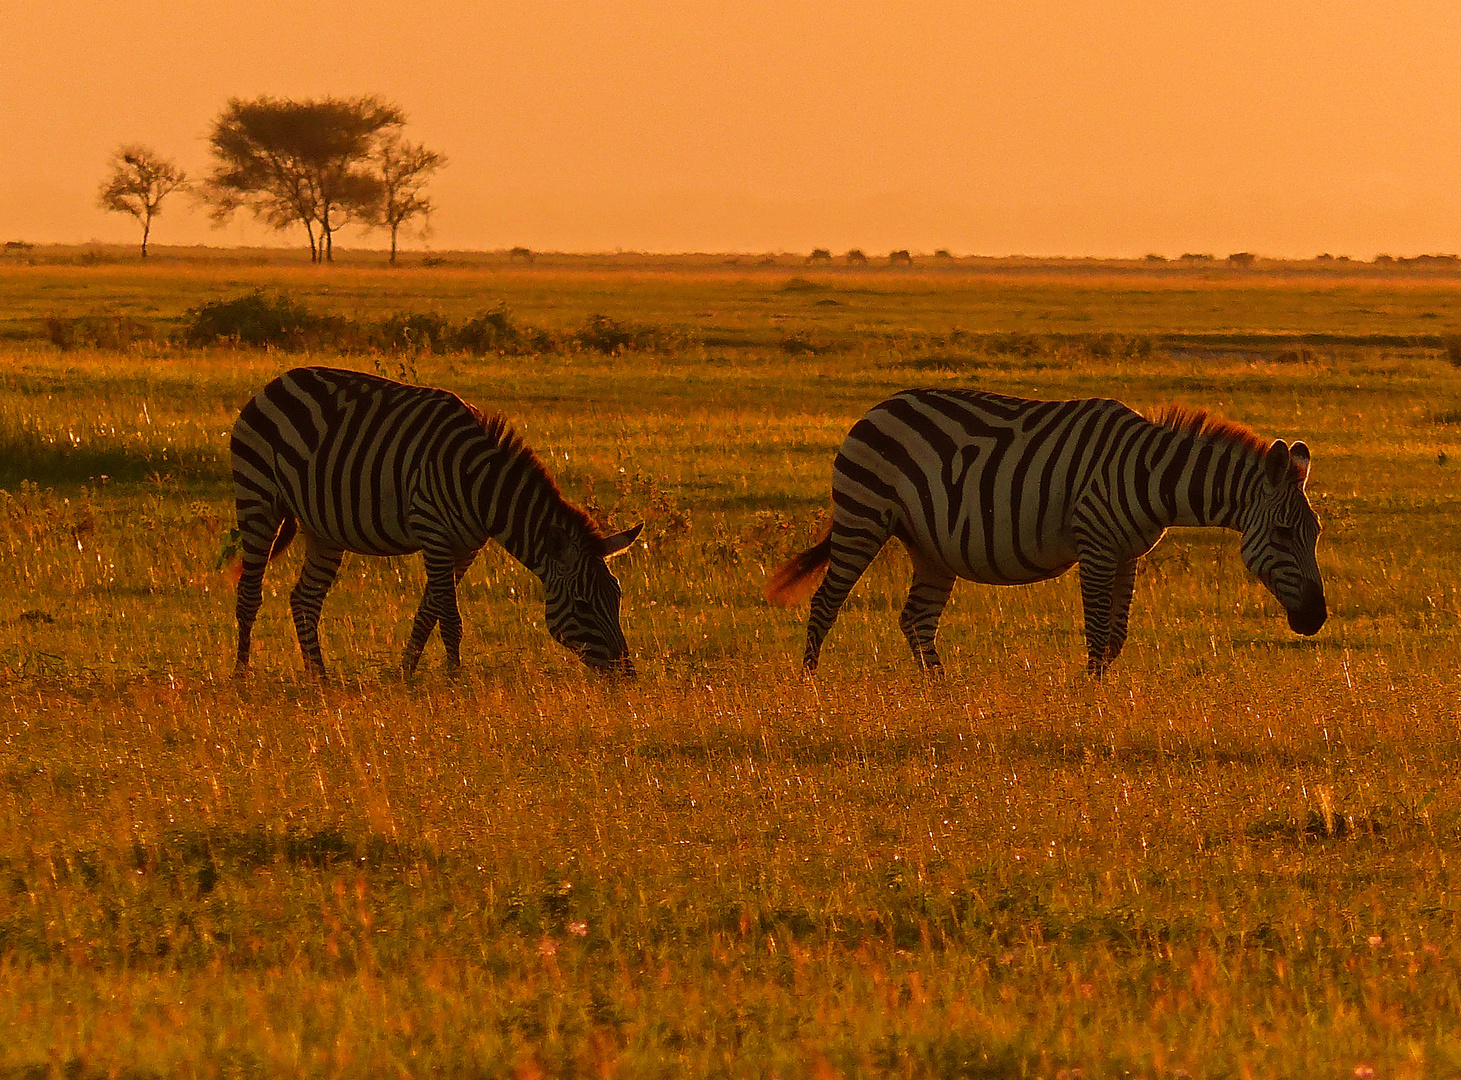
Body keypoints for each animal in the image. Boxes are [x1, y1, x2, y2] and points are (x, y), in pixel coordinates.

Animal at [230, 366, 642, 681]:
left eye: (617, 598)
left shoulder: (466, 547)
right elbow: (449, 616)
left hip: (323, 529)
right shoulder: (434, 531)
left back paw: (320, 678)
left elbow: (429, 612)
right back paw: (242, 676)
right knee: (250, 593)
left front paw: (406, 674)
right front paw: (455, 679)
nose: (627, 675)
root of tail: (277, 381)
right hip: (257, 500)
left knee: (305, 599)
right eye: (583, 605)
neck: (482, 486)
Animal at [765, 388, 1326, 675]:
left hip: (930, 547)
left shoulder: (1128, 554)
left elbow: (1116, 636)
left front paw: (1106, 694)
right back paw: (810, 685)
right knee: (826, 602)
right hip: (863, 516)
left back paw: (942, 693)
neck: (1150, 475)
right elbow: (1097, 632)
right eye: (1282, 534)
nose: (1316, 618)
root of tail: (875, 409)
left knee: (916, 620)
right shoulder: (1096, 543)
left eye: (1315, 533)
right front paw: (1090, 701)